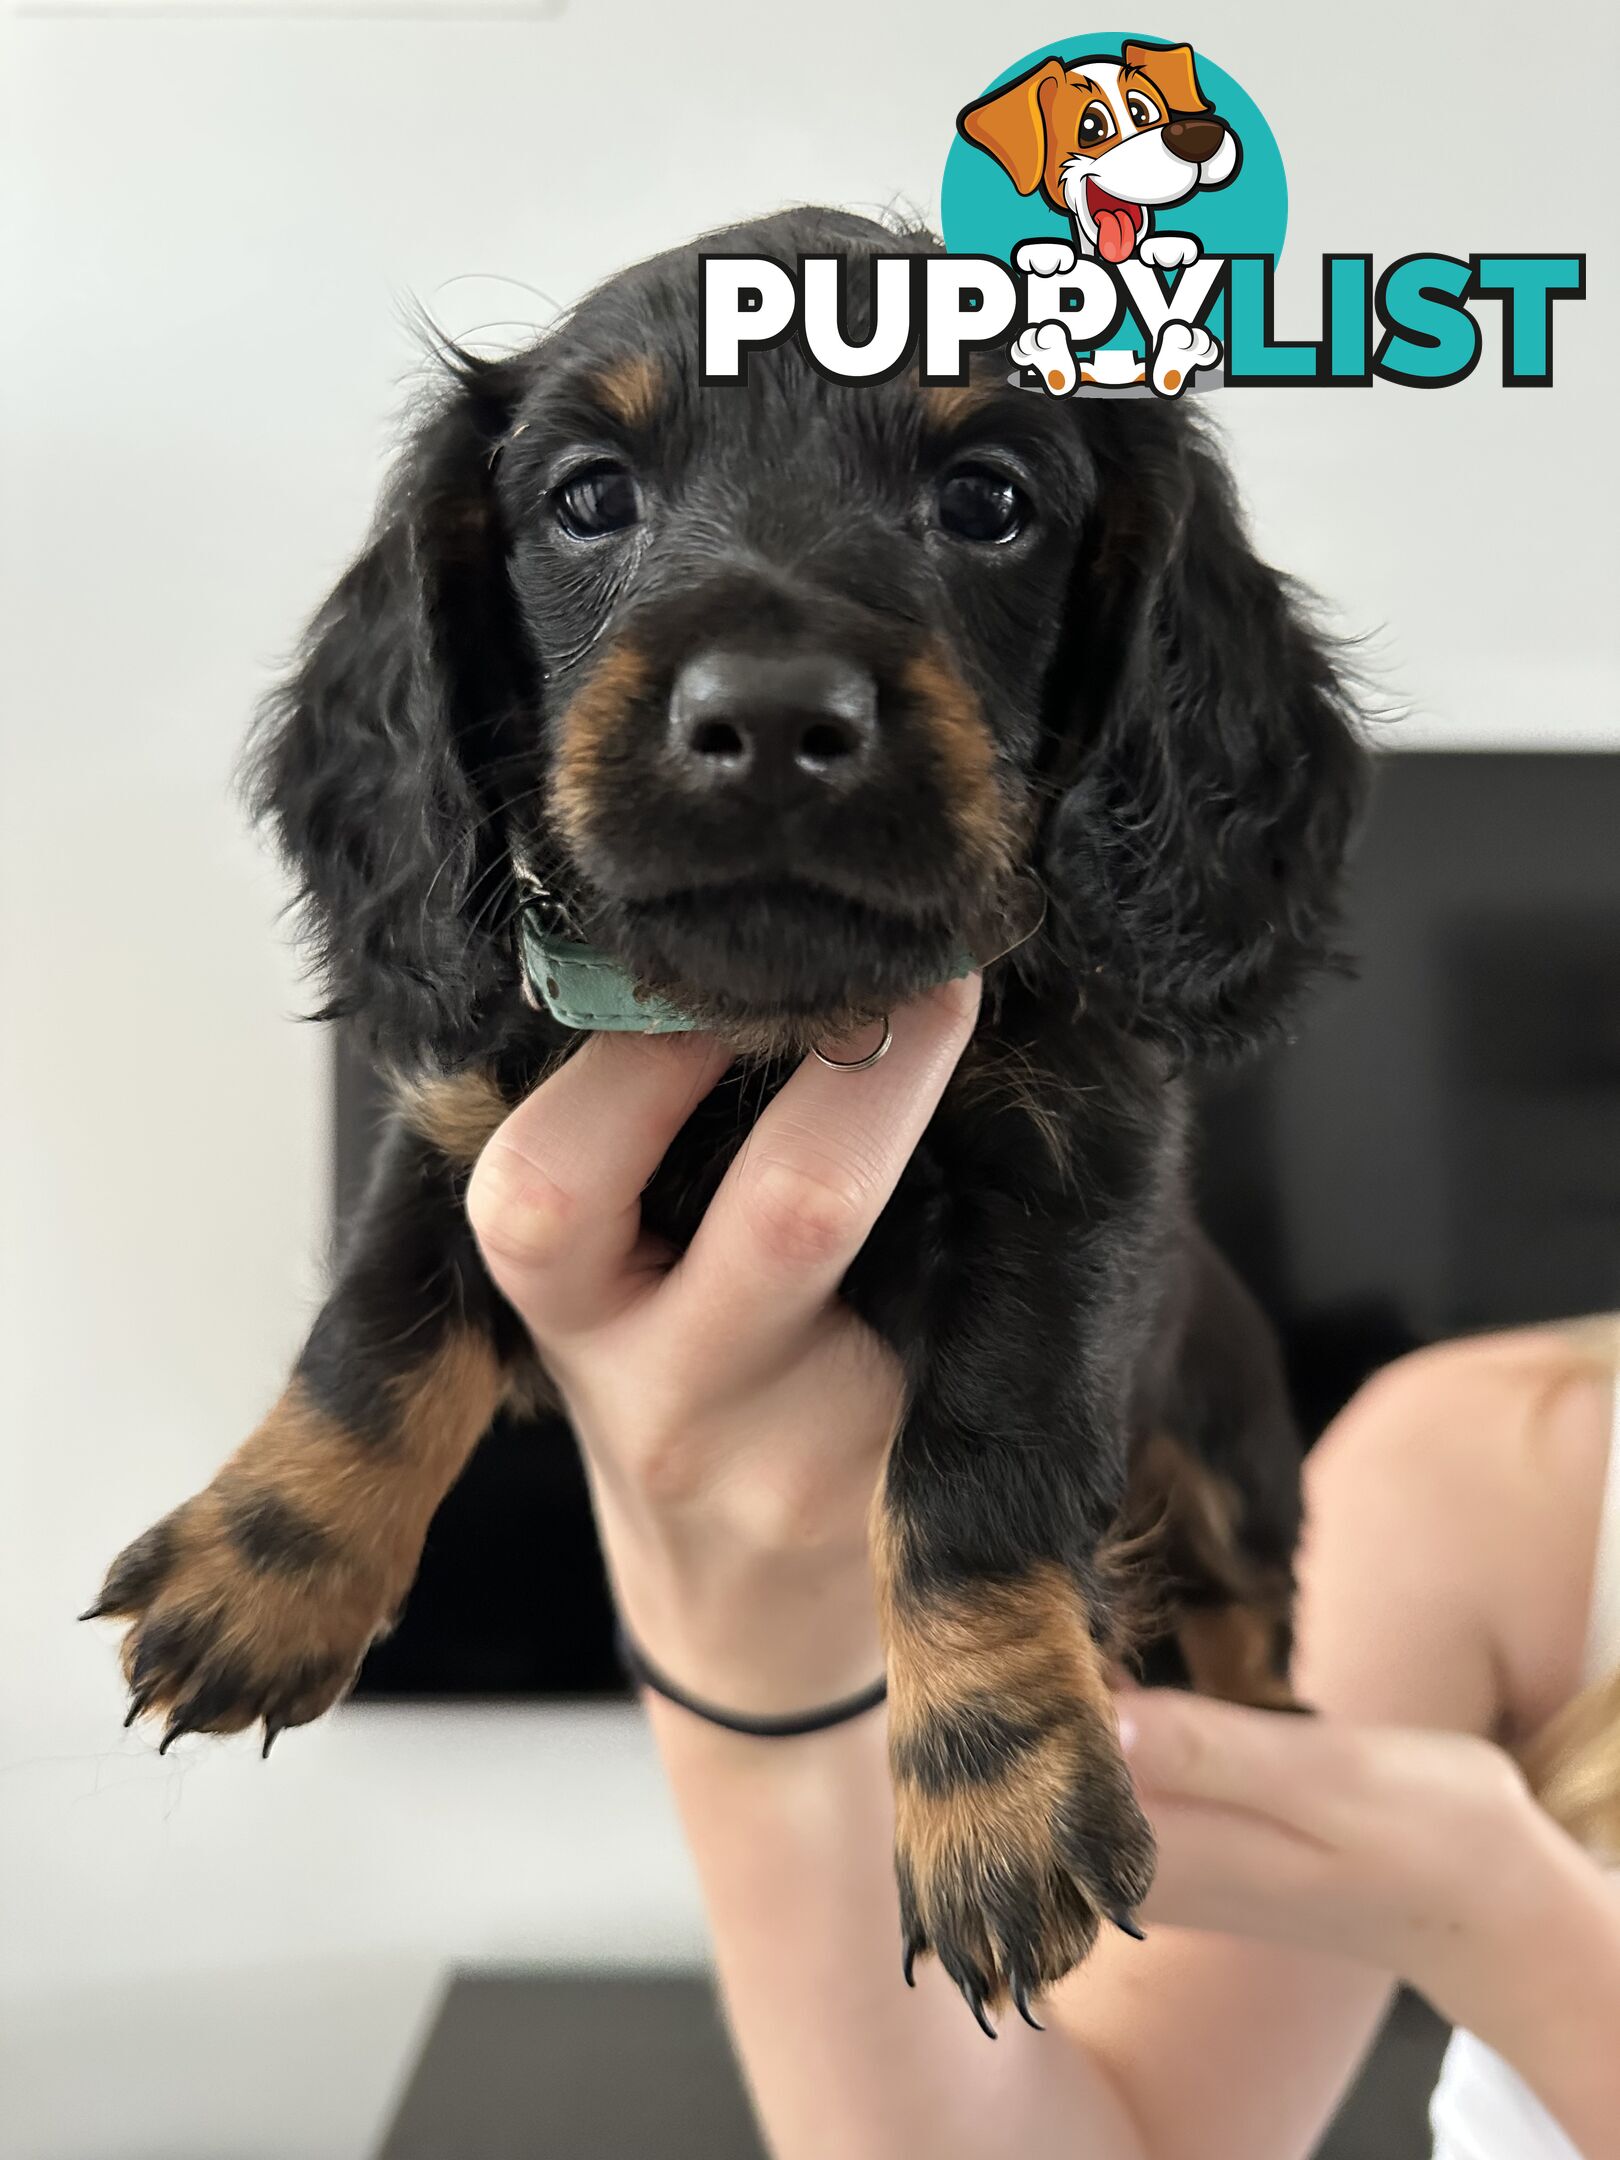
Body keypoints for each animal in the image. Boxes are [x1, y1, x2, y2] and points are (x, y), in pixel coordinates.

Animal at [88, 203, 1373, 2021]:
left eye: (988, 497)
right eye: (589, 497)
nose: (766, 719)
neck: (766, 1028)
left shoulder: (1070, 1182)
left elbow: (976, 1476)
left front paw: (998, 1795)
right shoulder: (469, 1121)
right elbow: (372, 1333)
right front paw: (257, 1572)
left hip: (1238, 1444)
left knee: (1254, 1608)